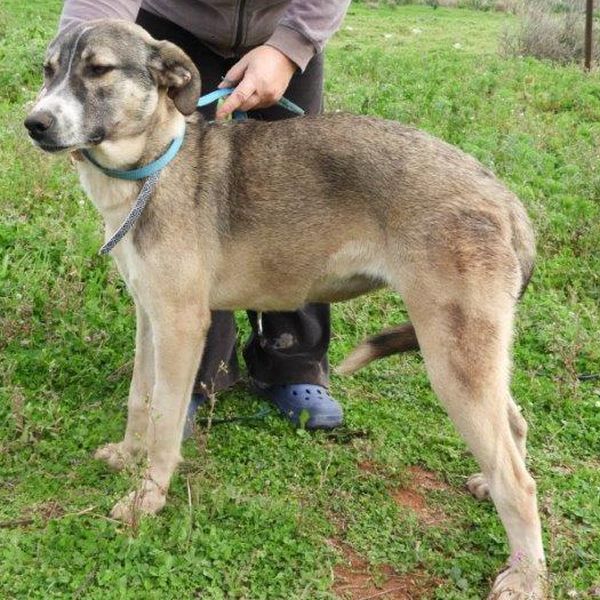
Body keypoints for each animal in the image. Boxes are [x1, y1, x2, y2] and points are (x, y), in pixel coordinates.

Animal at [25, 20, 546, 598]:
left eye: (98, 70)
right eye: (49, 70)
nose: (34, 123)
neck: (154, 168)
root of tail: (503, 198)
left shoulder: (181, 324)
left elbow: (164, 419)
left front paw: (149, 497)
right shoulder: (149, 316)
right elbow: (141, 400)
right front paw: (127, 455)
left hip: (452, 360)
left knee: (520, 483)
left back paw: (525, 575)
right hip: (473, 355)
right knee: (515, 425)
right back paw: (491, 495)